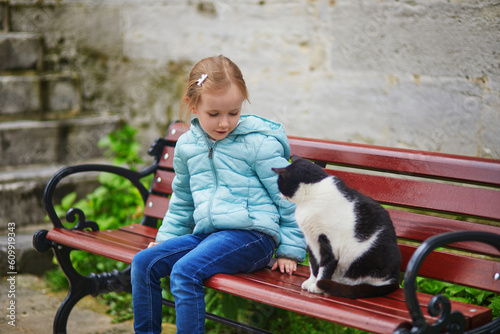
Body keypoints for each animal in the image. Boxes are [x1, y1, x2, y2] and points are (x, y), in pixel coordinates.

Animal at [272, 158, 400, 298]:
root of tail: (396, 279)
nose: (279, 195)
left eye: (280, 184)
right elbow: (314, 264)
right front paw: (311, 281)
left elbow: (325, 266)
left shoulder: (331, 243)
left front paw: (317, 286)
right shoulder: (311, 241)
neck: (311, 198)